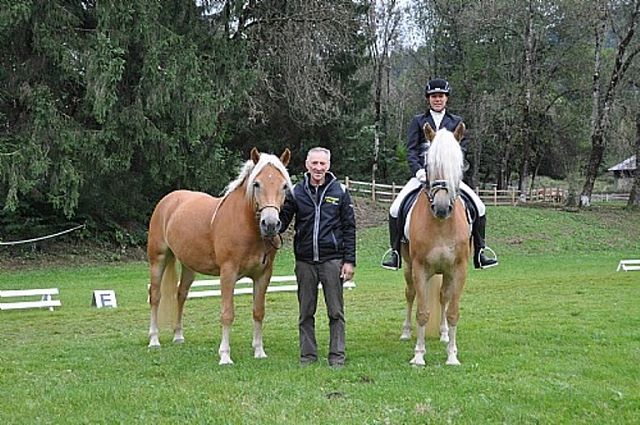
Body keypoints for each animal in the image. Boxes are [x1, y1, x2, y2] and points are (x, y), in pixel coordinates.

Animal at [146, 148, 292, 365]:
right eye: (256, 184)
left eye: (284, 185)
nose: (271, 224)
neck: (246, 226)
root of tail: (168, 200)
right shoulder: (228, 273)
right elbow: (227, 314)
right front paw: (225, 356)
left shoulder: (263, 275)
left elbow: (258, 312)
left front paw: (259, 351)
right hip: (158, 259)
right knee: (155, 296)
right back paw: (154, 340)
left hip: (189, 266)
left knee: (181, 294)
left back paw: (178, 336)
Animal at [399, 123, 471, 366]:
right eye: (427, 164)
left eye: (458, 164)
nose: (441, 207)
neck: (441, 225)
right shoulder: (420, 268)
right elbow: (422, 312)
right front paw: (418, 356)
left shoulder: (459, 270)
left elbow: (453, 312)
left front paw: (452, 356)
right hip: (408, 267)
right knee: (410, 294)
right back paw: (406, 332)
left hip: (446, 273)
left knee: (443, 298)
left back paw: (444, 333)